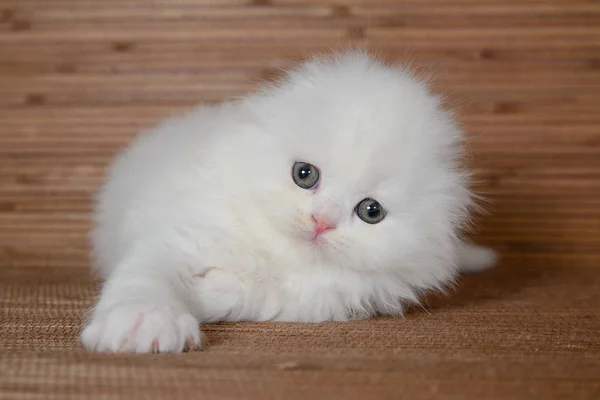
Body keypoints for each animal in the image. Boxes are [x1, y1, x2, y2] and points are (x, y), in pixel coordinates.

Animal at [82, 49, 500, 354]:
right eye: (304, 174)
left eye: (371, 211)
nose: (322, 221)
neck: (273, 251)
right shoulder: (179, 236)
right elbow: (145, 277)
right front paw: (145, 322)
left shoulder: (311, 300)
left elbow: (243, 295)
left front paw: (210, 291)